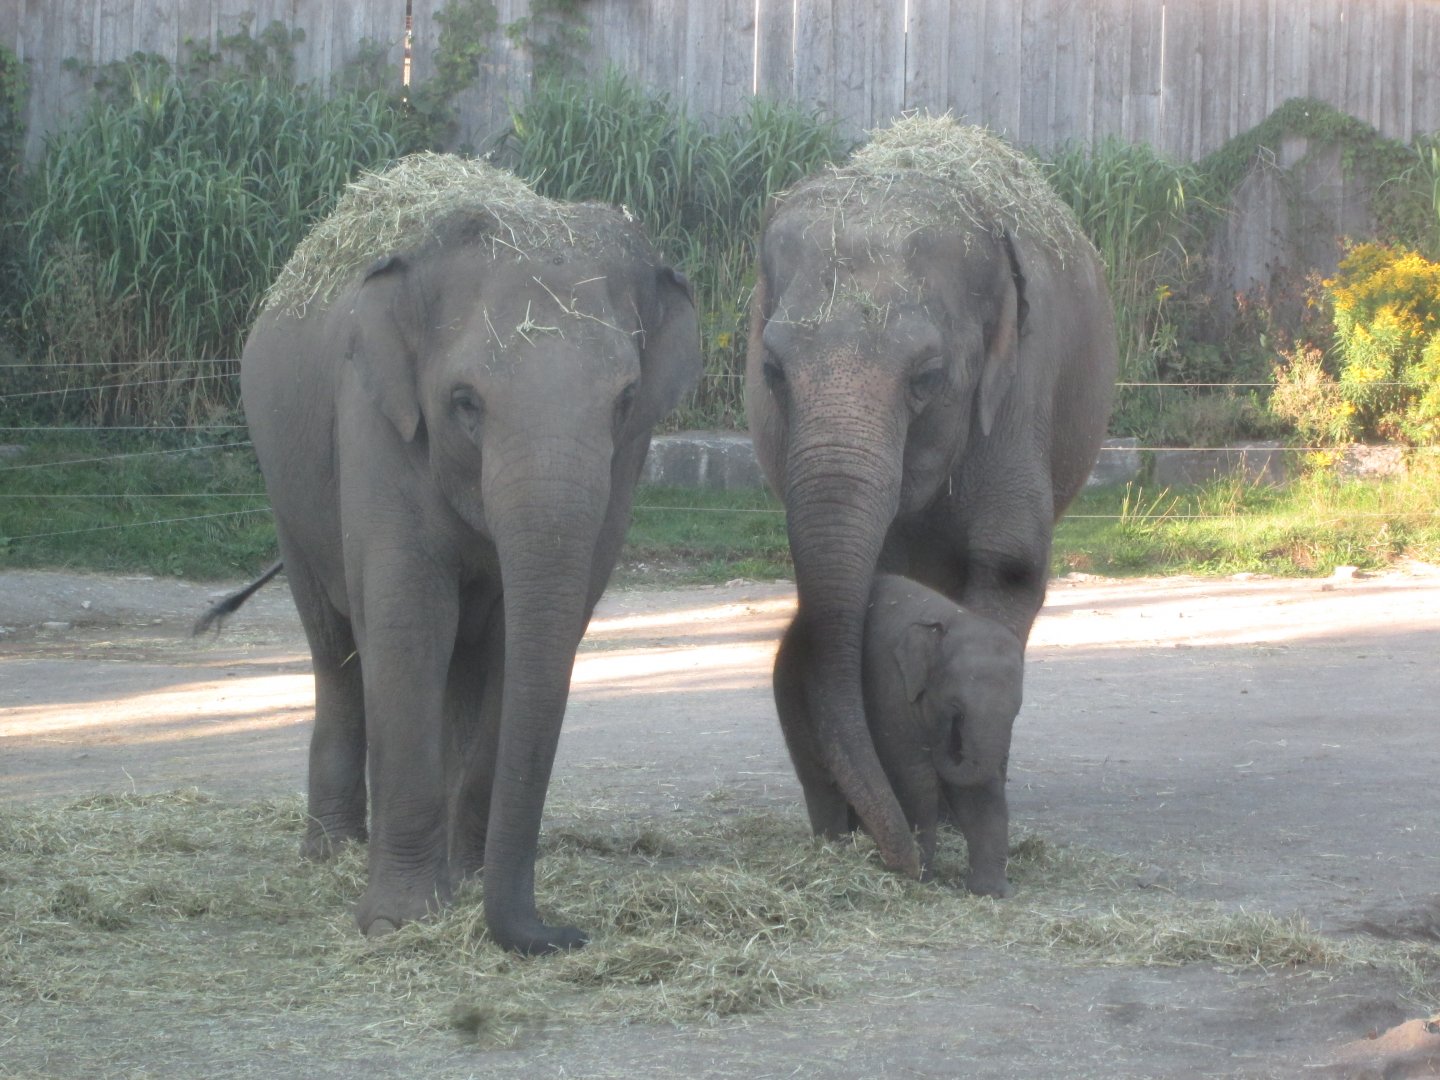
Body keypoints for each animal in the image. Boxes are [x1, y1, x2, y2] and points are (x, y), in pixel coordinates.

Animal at [203, 156, 700, 952]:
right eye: (465, 402)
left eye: (624, 401)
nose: (566, 933)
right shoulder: (375, 418)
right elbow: (408, 617)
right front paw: (400, 921)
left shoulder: (623, 465)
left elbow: (525, 637)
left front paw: (463, 884)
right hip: (285, 490)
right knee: (334, 646)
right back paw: (332, 852)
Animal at [860, 573, 1023, 895]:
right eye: (956, 707)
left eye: (1016, 711)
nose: (948, 735)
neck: (952, 618)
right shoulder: (890, 684)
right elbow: (915, 777)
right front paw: (919, 878)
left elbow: (980, 786)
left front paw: (992, 892)